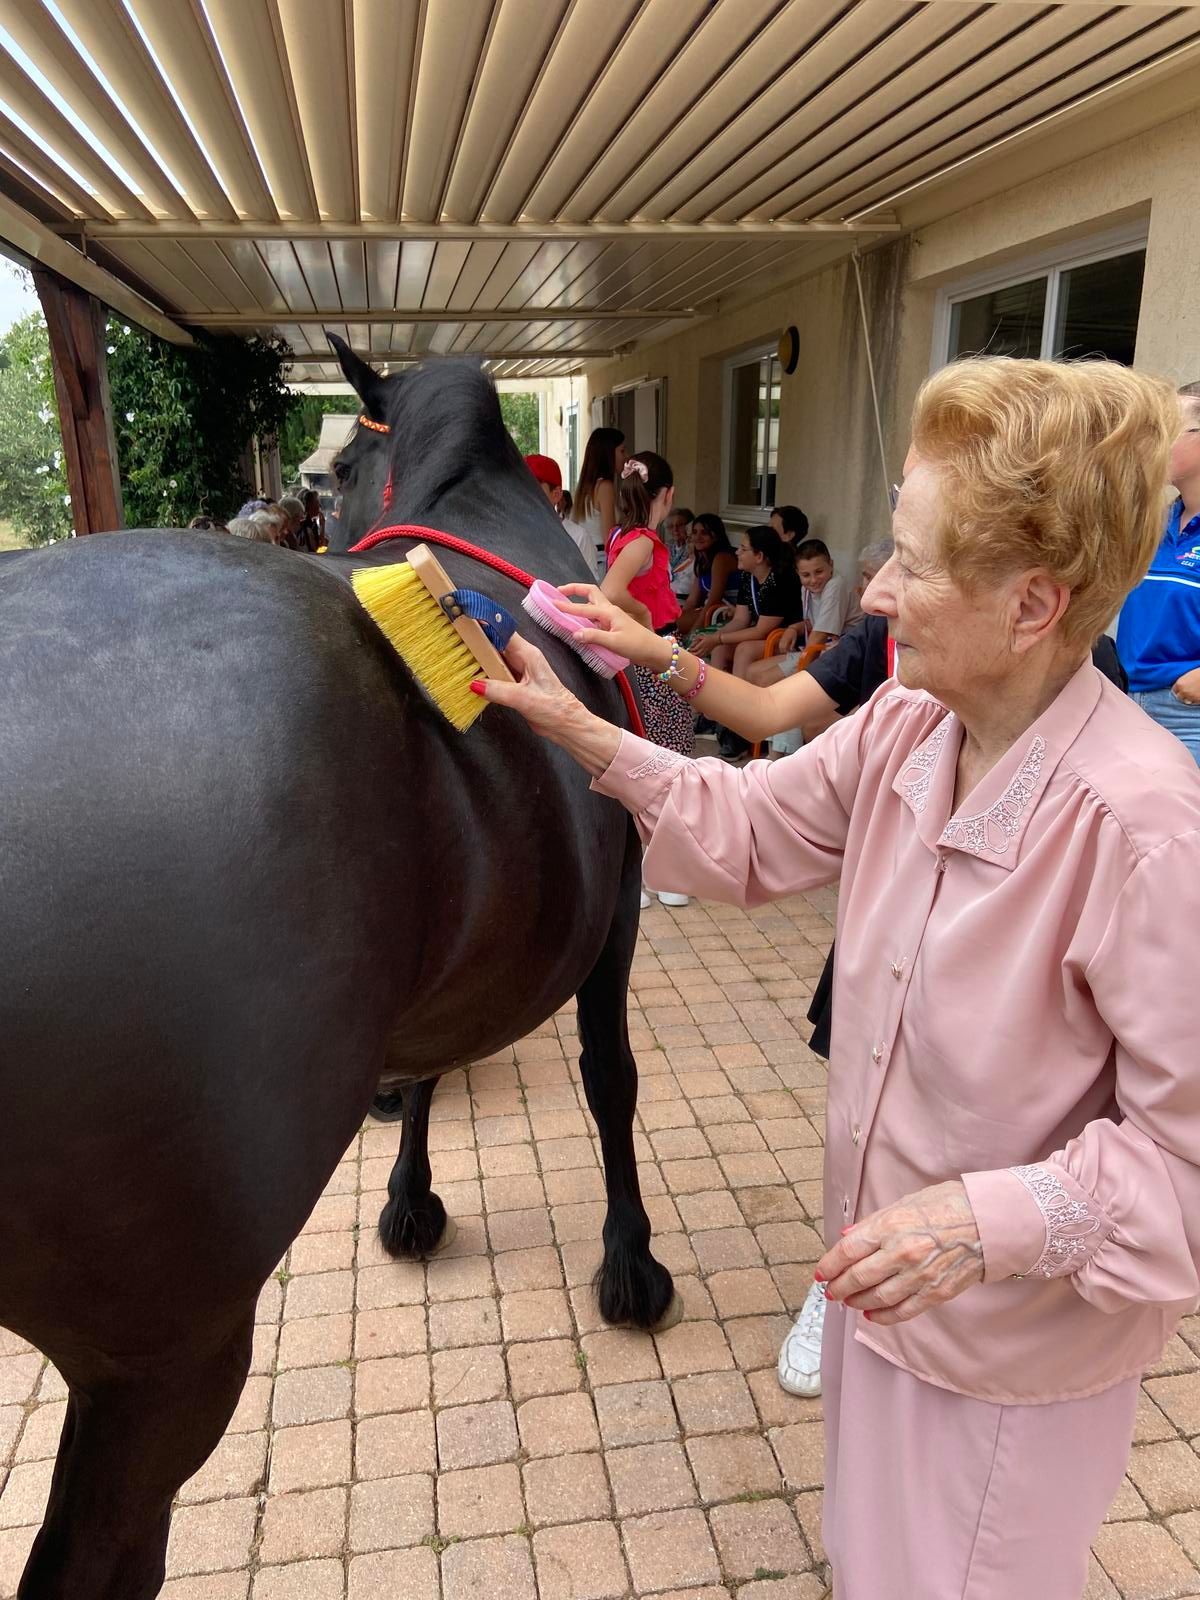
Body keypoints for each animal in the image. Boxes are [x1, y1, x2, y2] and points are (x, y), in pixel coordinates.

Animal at [0, 343, 675, 1600]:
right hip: (162, 1363)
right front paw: (628, 1253)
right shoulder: (612, 911)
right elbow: (601, 1079)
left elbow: (461, 1071)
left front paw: (425, 1203)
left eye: (336, 470)